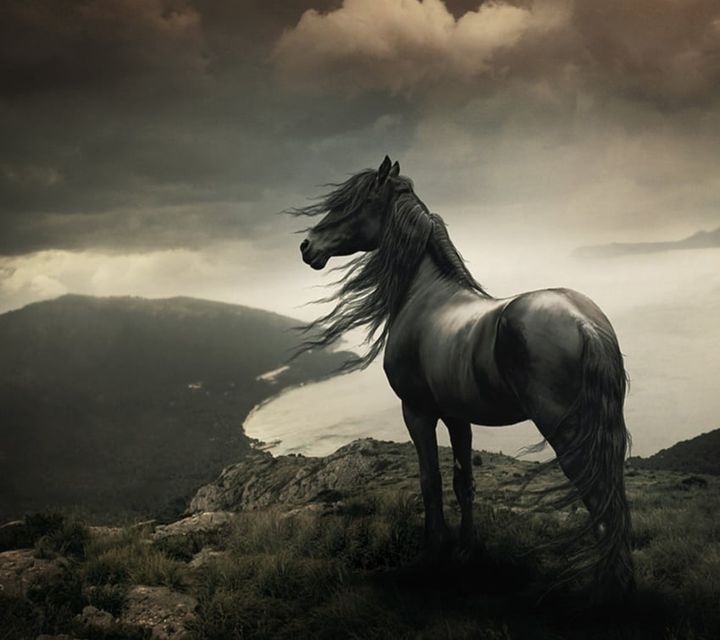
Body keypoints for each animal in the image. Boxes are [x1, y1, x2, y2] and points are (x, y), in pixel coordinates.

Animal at [294, 155, 635, 596]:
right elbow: (463, 482)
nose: (308, 246)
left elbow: (430, 481)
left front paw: (434, 553)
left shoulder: (417, 412)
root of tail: (583, 323)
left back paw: (611, 586)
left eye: (356, 203)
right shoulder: (458, 417)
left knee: (597, 494)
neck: (425, 296)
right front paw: (466, 552)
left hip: (567, 429)